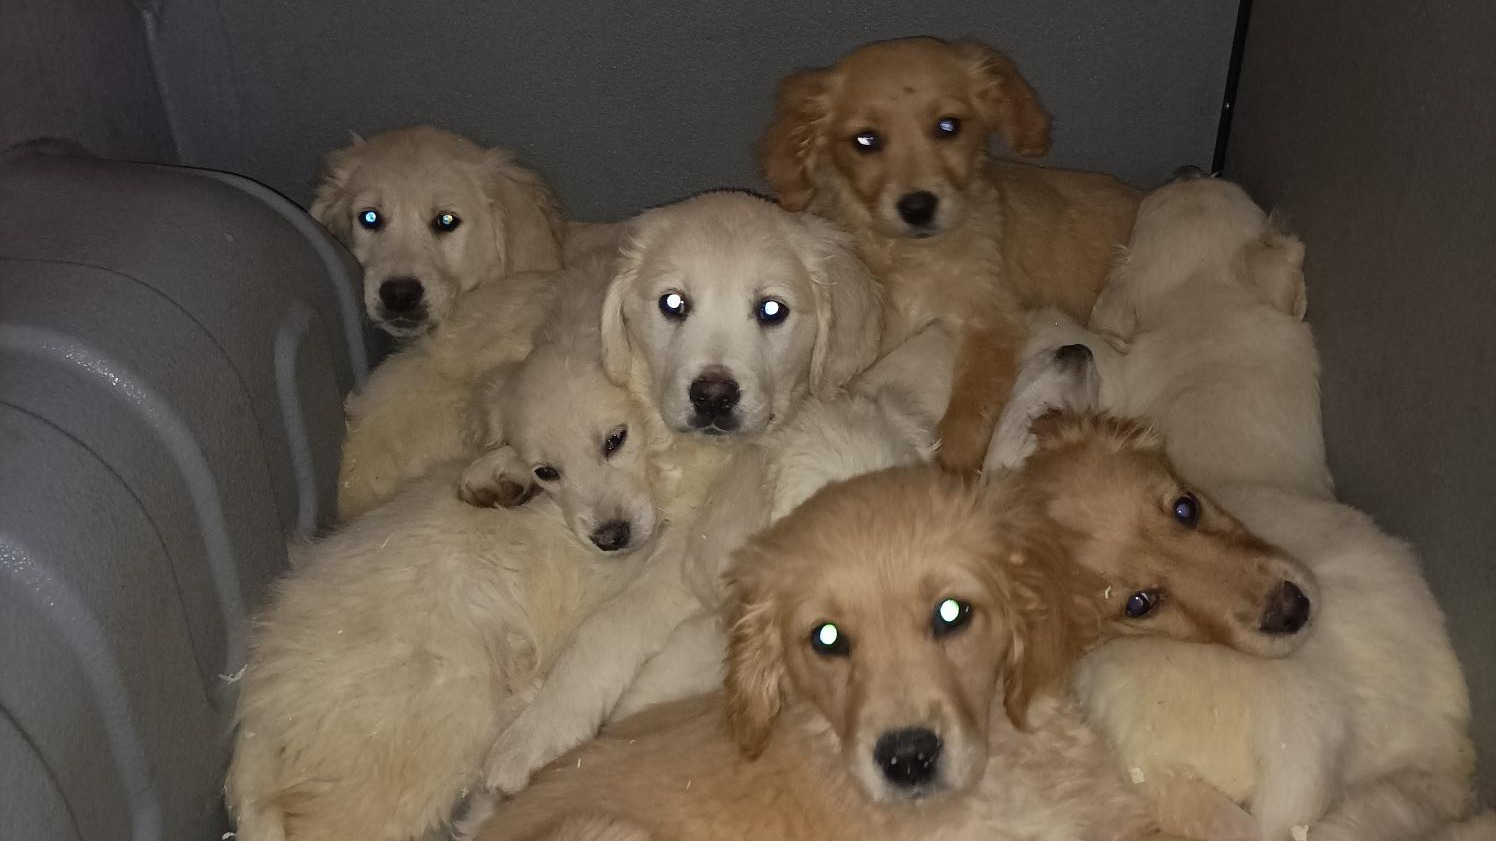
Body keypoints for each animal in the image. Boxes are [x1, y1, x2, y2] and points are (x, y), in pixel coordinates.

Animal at [758, 36, 1140, 473]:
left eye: (948, 127)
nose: (918, 207)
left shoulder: (992, 320)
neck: (914, 257)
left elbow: (970, 411)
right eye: (865, 140)